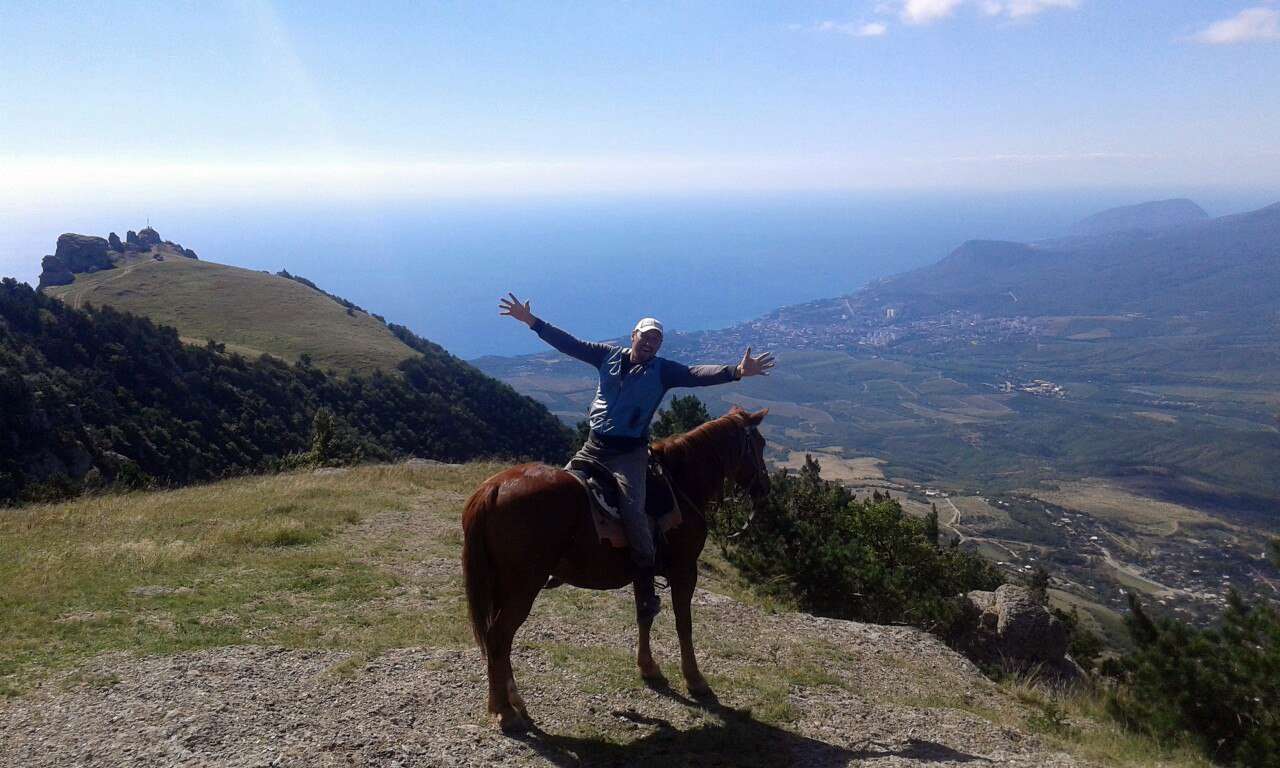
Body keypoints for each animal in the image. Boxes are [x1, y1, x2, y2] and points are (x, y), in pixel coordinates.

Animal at [458, 404, 762, 727]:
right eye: (760, 444)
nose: (765, 487)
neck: (681, 482)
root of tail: (492, 489)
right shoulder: (685, 570)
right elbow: (684, 624)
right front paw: (695, 680)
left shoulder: (643, 569)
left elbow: (644, 616)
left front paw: (649, 668)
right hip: (522, 588)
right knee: (498, 638)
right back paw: (504, 711)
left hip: (501, 585)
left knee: (499, 642)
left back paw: (513, 701)